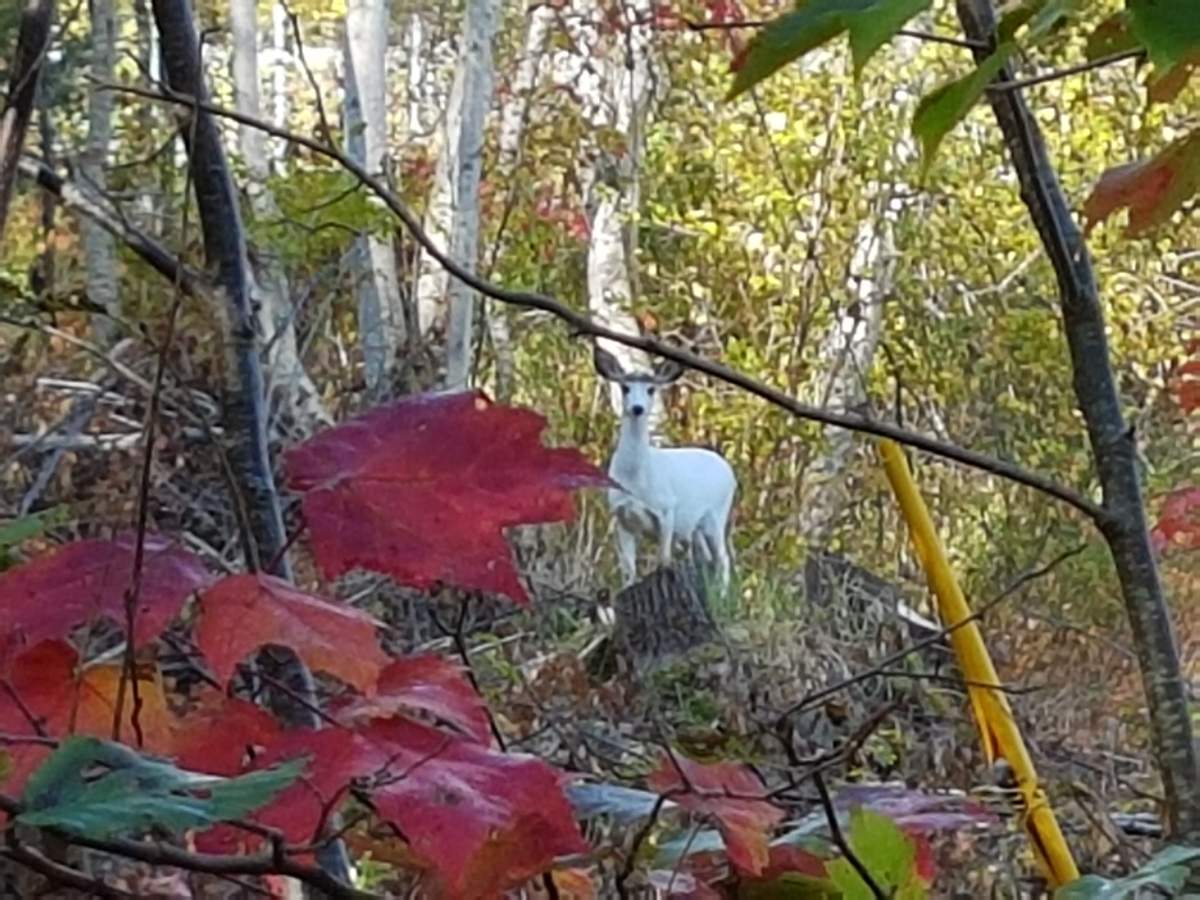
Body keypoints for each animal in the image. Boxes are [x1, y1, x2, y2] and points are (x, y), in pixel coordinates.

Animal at [593, 344, 737, 591]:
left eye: (651, 389)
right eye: (625, 387)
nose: (638, 408)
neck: (635, 481)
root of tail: (728, 469)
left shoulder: (667, 509)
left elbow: (664, 561)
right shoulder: (621, 516)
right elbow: (629, 571)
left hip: (717, 514)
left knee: (723, 559)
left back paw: (723, 593)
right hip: (695, 525)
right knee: (707, 558)